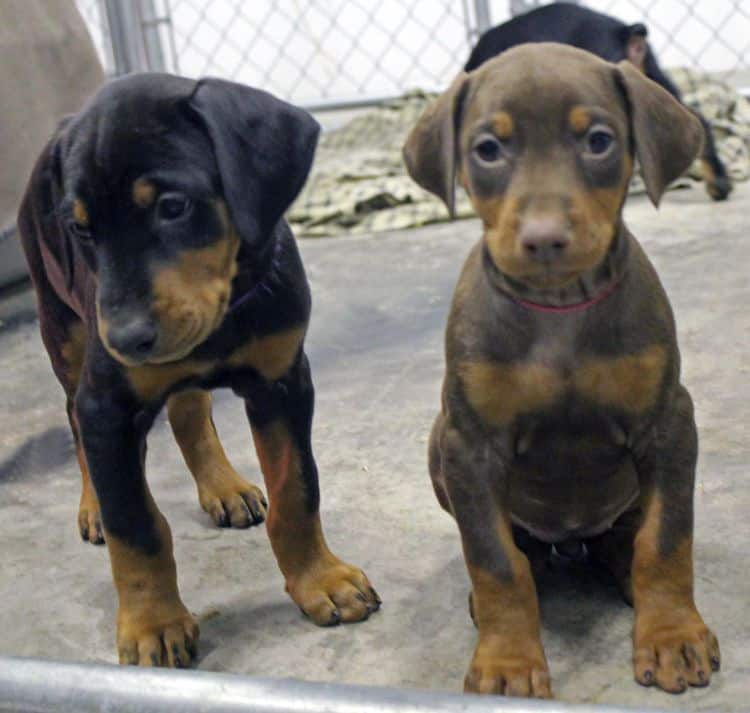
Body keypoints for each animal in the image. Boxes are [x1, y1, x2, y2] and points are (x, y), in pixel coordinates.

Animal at [16, 73, 382, 668]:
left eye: (173, 206)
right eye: (80, 229)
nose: (125, 340)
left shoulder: (284, 382)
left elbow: (298, 491)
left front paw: (320, 581)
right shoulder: (107, 406)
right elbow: (135, 525)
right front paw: (153, 624)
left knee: (189, 409)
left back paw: (223, 485)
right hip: (64, 334)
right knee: (76, 420)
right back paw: (94, 504)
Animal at [406, 46, 724, 700]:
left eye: (598, 140)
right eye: (488, 149)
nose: (545, 239)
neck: (559, 309)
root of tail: (571, 546)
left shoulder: (670, 423)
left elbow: (667, 538)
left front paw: (673, 636)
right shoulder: (469, 445)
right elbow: (496, 562)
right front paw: (507, 660)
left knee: (628, 537)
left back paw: (622, 568)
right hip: (438, 445)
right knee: (517, 551)